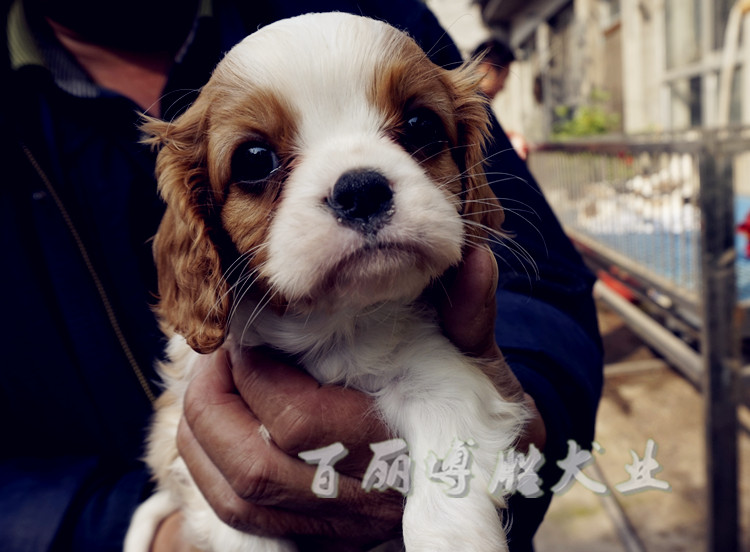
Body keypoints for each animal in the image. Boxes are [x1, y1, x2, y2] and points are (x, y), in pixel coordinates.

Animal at [125, 11, 524, 552]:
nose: (361, 189)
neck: (328, 324)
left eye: (421, 125)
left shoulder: (436, 377)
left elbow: (446, 495)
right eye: (254, 159)